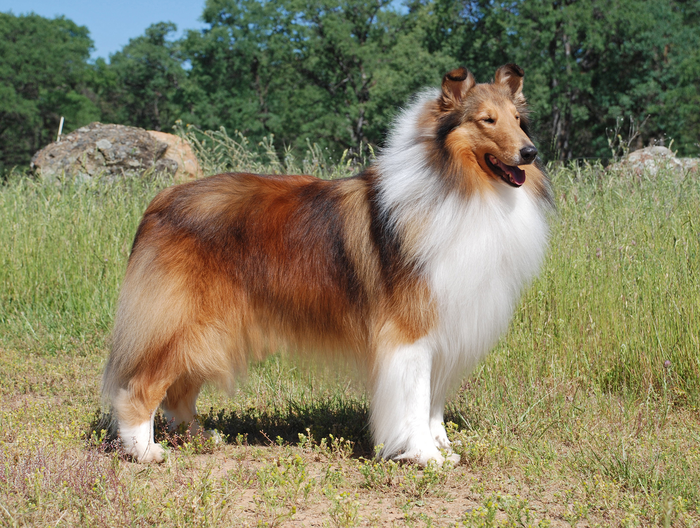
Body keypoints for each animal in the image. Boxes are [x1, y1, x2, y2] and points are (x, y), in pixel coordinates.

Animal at [104, 64, 552, 464]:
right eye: (486, 120)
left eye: (518, 120)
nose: (530, 153)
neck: (461, 188)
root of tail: (161, 201)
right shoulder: (410, 332)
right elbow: (414, 398)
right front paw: (424, 455)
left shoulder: (448, 324)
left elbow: (434, 402)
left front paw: (443, 446)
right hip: (182, 322)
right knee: (140, 387)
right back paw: (144, 451)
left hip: (211, 331)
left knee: (180, 392)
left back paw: (199, 437)